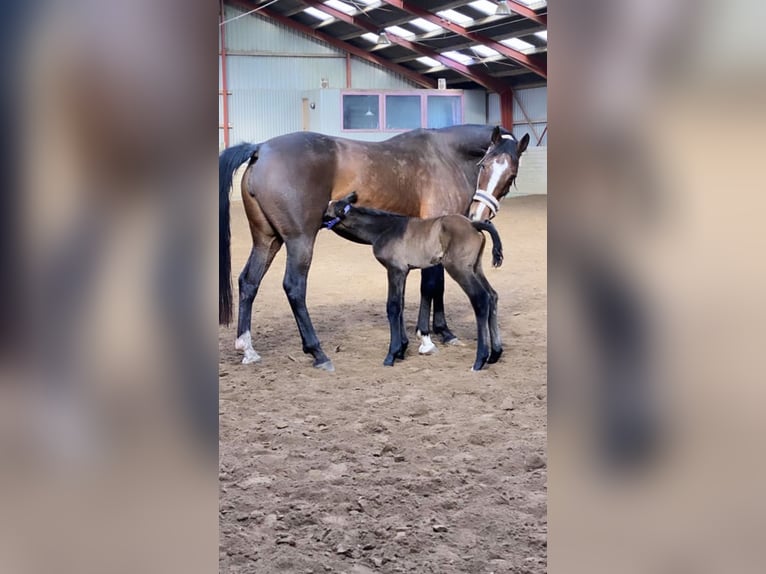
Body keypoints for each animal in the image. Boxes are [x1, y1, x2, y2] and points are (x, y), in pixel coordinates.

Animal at [322, 194, 504, 374]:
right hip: (476, 268)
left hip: (459, 269)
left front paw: (392, 354)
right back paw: (495, 354)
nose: (316, 221)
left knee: (481, 298)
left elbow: (393, 307)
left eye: (326, 211)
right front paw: (402, 349)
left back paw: (479, 360)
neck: (385, 229)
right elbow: (400, 305)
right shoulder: (404, 272)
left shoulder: (395, 270)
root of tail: (473, 224)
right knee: (492, 295)